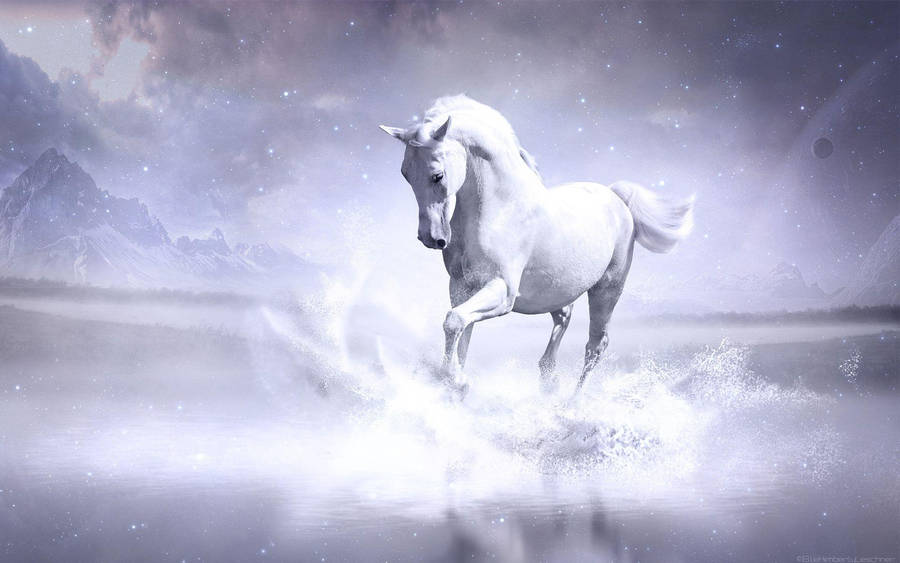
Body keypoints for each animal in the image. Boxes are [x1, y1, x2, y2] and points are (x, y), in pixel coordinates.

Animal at [380, 95, 693, 396]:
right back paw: (548, 379)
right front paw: (454, 383)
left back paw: (572, 402)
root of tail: (616, 198)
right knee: (564, 318)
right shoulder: (461, 287)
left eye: (438, 175)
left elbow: (454, 321)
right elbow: (461, 334)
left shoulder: (502, 291)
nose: (431, 238)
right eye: (405, 174)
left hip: (607, 290)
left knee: (595, 346)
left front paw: (457, 381)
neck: (500, 208)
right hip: (556, 290)